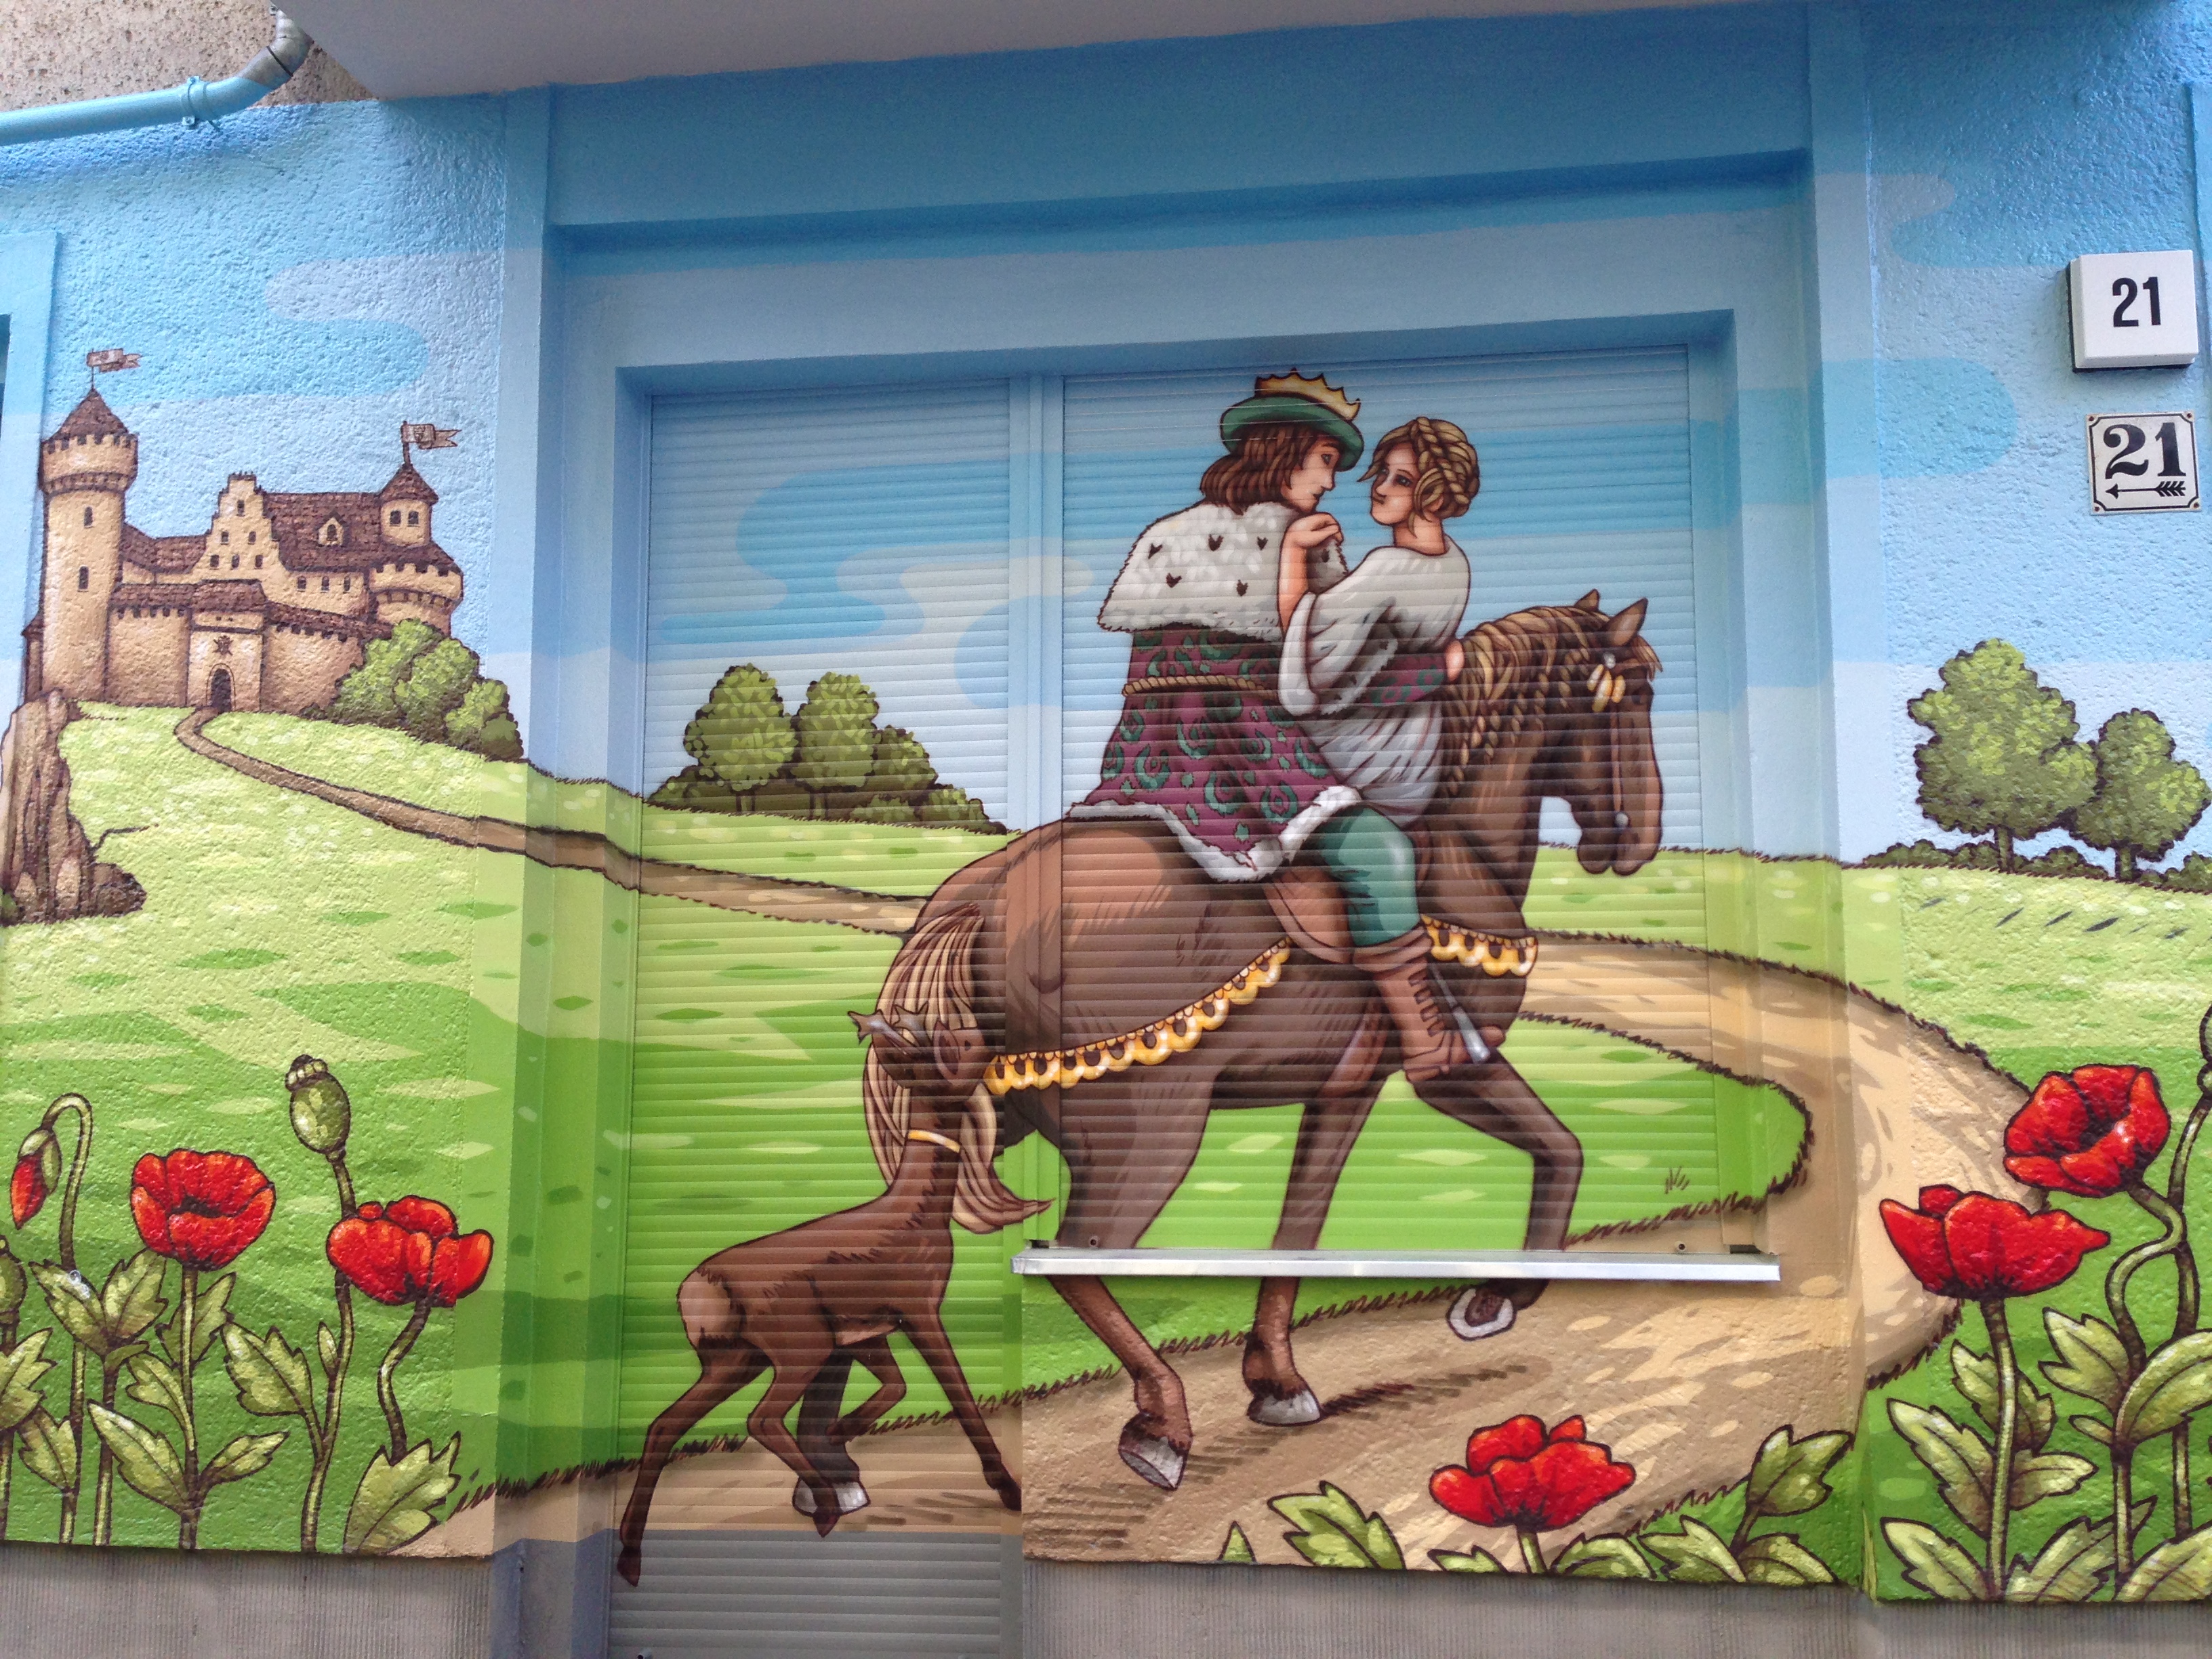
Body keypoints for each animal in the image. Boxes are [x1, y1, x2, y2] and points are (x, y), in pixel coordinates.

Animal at [858, 592, 1662, 1489]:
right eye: (1629, 697)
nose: (1633, 842)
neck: (1459, 849)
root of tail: (982, 895)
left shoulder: (1348, 1086)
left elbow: (1307, 1227)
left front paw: (1281, 1377)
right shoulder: (1452, 1067)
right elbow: (1560, 1152)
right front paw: (1494, 1298)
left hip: (992, 1111)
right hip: (1148, 1133)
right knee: (1075, 1255)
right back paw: (1161, 1425)